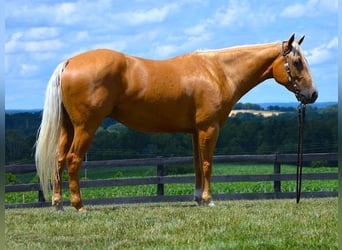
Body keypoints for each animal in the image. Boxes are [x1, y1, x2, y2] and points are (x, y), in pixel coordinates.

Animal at [35, 34, 318, 211]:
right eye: (297, 62)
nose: (313, 95)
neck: (217, 71)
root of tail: (69, 63)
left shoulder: (194, 131)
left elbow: (196, 165)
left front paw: (198, 198)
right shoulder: (209, 128)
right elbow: (207, 164)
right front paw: (208, 199)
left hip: (68, 128)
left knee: (58, 160)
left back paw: (58, 204)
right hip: (86, 127)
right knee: (72, 160)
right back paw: (79, 206)